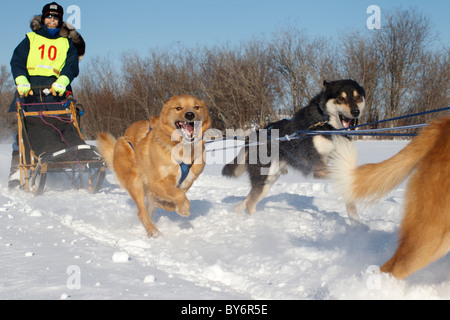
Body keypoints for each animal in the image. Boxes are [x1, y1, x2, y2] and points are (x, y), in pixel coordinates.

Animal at [96, 94, 211, 236]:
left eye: (196, 107)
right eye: (178, 108)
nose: (190, 114)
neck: (183, 148)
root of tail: (120, 140)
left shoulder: (186, 182)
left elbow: (175, 196)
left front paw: (170, 205)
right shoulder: (156, 183)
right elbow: (178, 195)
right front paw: (183, 208)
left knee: (149, 208)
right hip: (135, 182)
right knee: (141, 212)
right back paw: (153, 231)